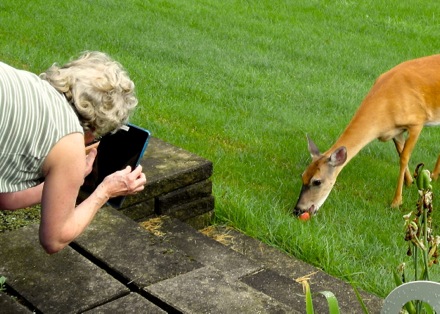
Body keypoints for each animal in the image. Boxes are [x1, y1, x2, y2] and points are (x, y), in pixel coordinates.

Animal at [292, 54, 440, 217]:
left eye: (317, 181)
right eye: (302, 175)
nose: (298, 210)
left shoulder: (417, 122)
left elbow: (404, 158)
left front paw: (396, 202)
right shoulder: (395, 131)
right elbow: (400, 152)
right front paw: (409, 182)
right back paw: (434, 175)